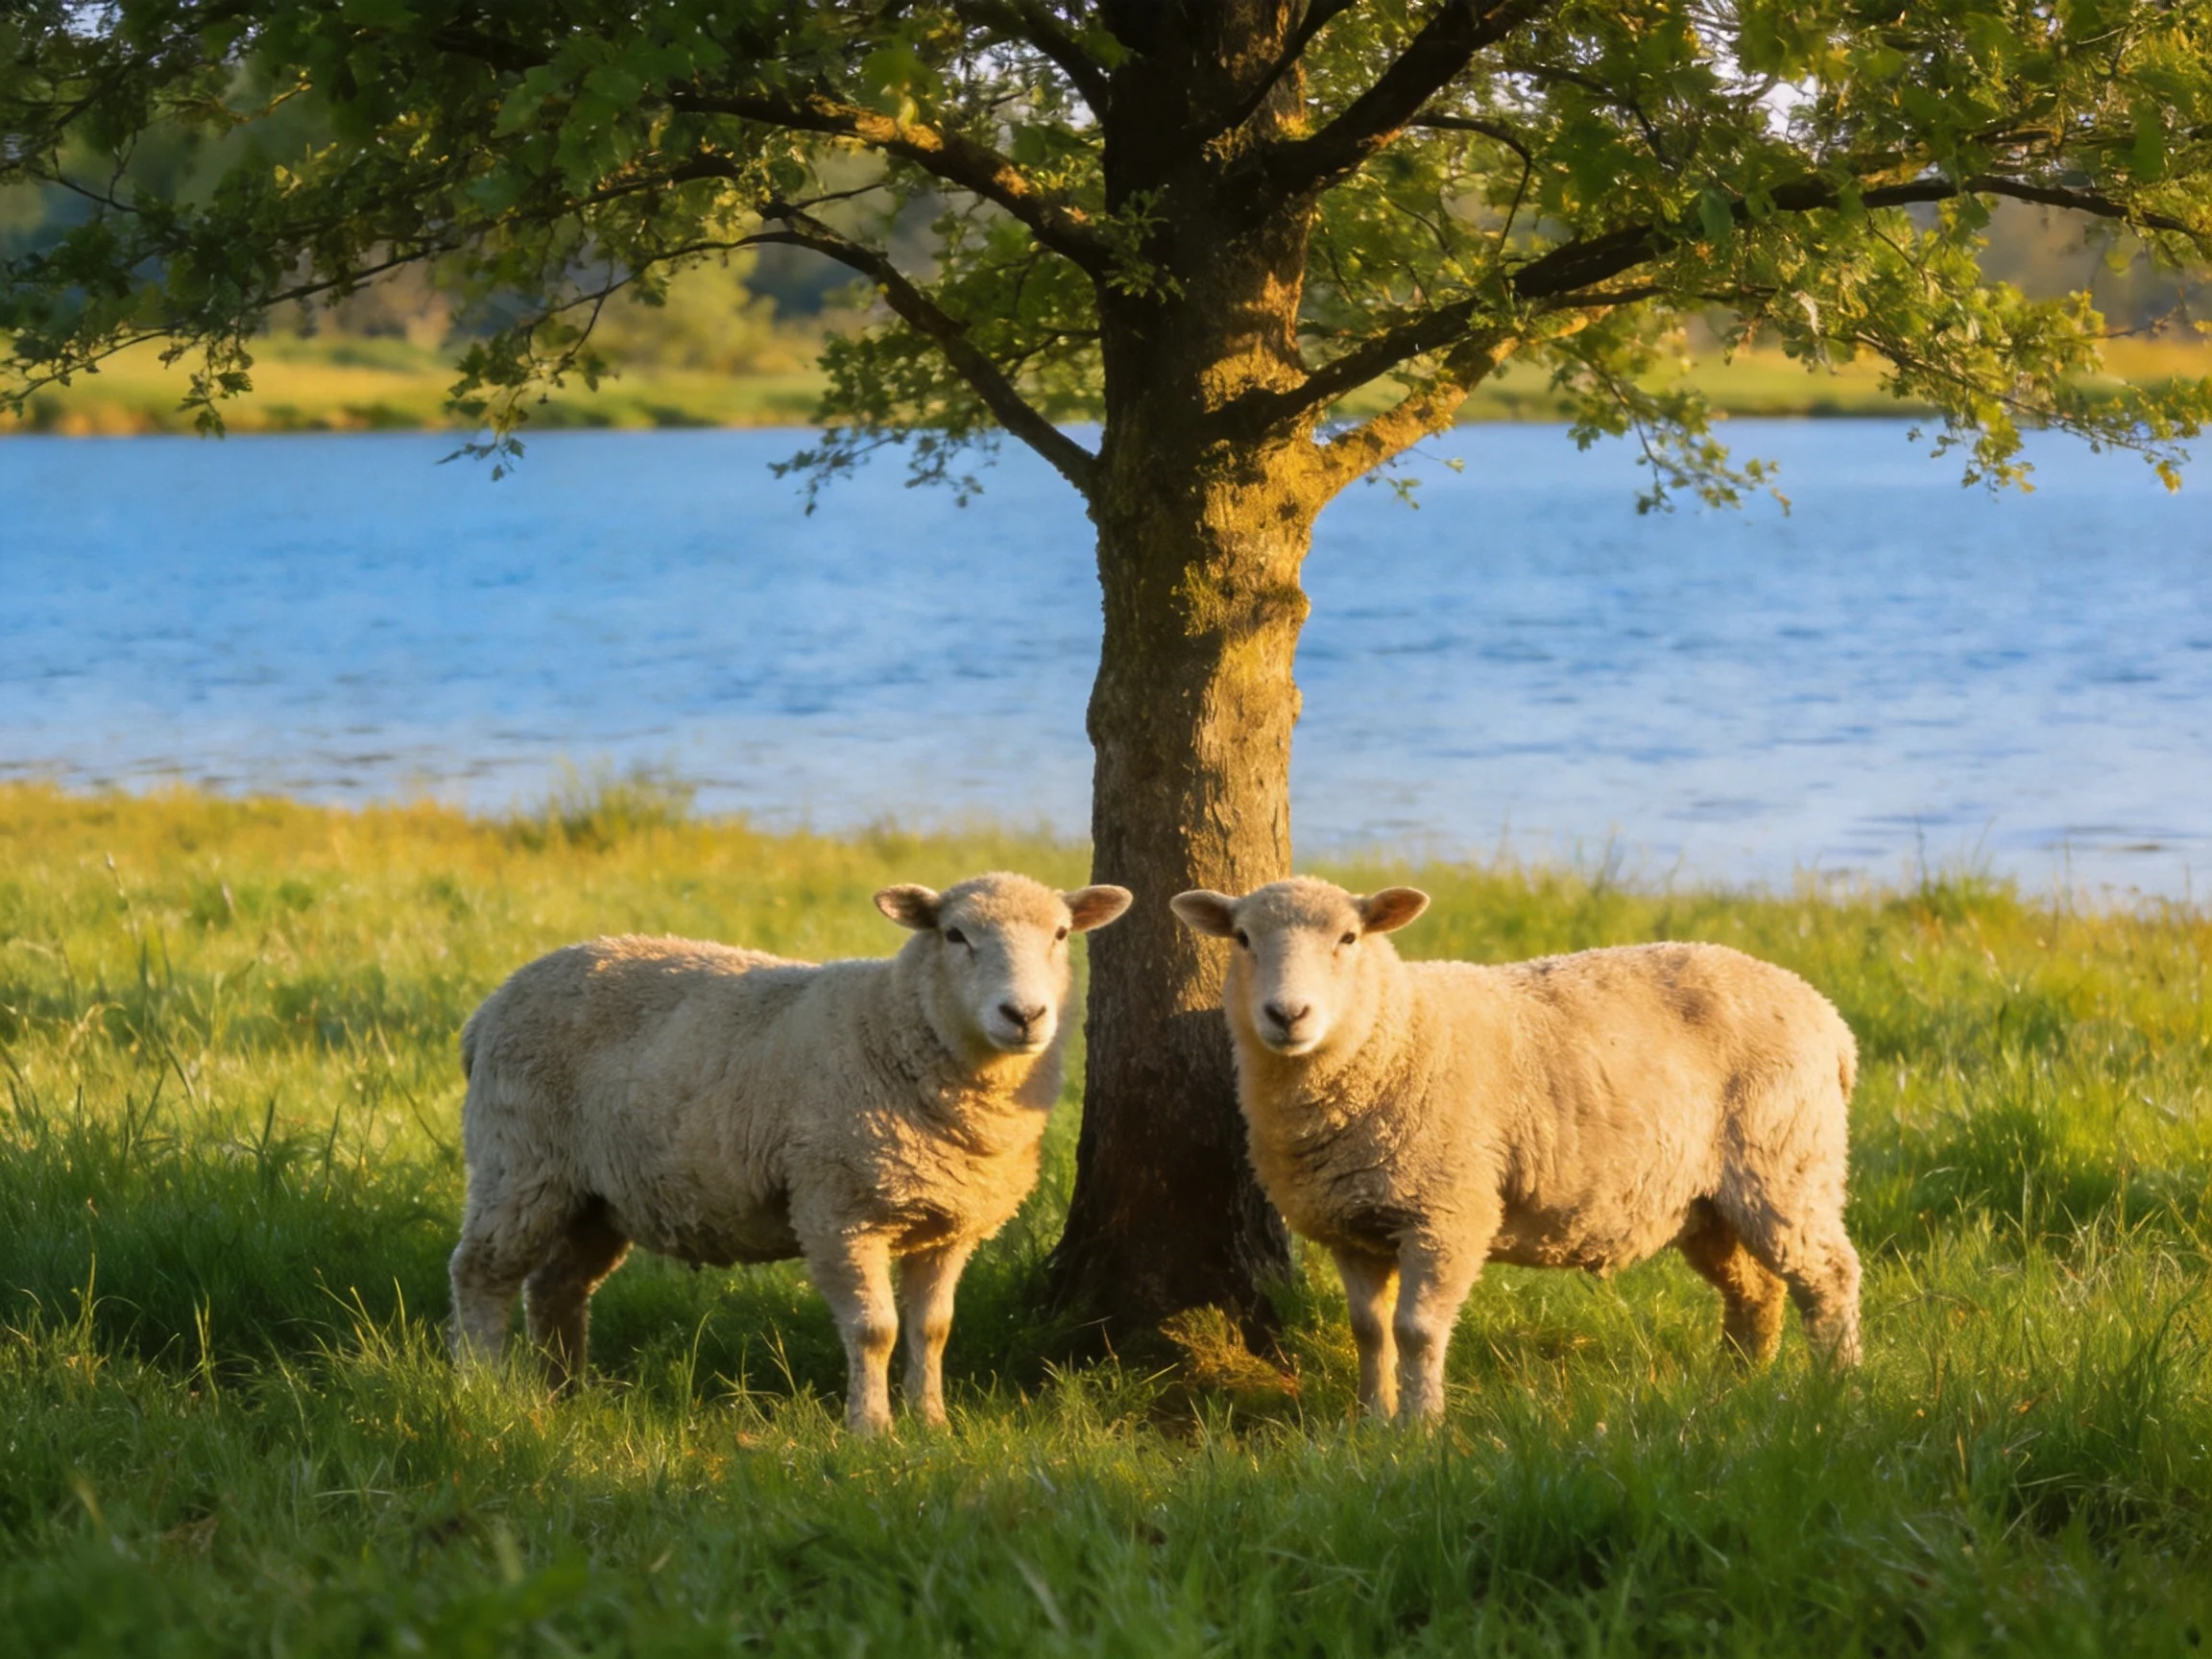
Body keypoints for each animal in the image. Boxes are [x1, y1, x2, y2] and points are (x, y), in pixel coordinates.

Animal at [449, 872, 1131, 1432]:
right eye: (955, 934)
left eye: (1062, 934)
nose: (1024, 1014)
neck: (891, 1026)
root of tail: (488, 1008)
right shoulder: (837, 1211)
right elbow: (875, 1330)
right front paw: (872, 1429)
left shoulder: (948, 1225)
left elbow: (932, 1330)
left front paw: (932, 1422)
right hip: (519, 1161)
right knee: (480, 1272)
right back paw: (483, 1384)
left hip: (595, 1193)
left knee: (557, 1286)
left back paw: (565, 1391)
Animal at [1171, 877, 1862, 1423]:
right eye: (1242, 938)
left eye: (1348, 938)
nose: (1287, 1014)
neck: (1395, 1035)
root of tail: (1829, 1018)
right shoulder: (1355, 1225)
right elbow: (1369, 1332)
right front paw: (1371, 1423)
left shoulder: (1448, 1214)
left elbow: (1416, 1331)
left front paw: (1420, 1430)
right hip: (1706, 1201)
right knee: (1756, 1291)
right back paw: (1735, 1385)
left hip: (1786, 1161)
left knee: (1829, 1276)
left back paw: (1838, 1387)